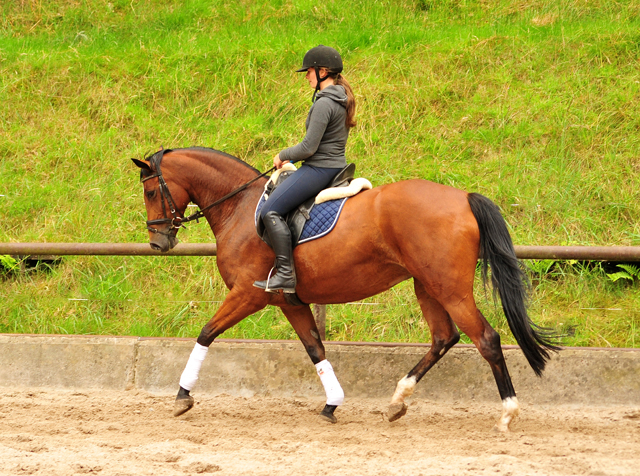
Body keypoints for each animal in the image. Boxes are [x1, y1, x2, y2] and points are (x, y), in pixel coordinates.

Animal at [132, 145, 556, 432]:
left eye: (151, 192)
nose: (157, 243)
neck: (240, 207)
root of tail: (463, 198)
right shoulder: (290, 302)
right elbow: (315, 349)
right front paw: (332, 405)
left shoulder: (248, 294)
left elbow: (206, 333)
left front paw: (182, 396)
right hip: (427, 286)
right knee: (443, 338)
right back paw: (396, 402)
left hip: (450, 289)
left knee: (486, 339)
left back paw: (507, 413)